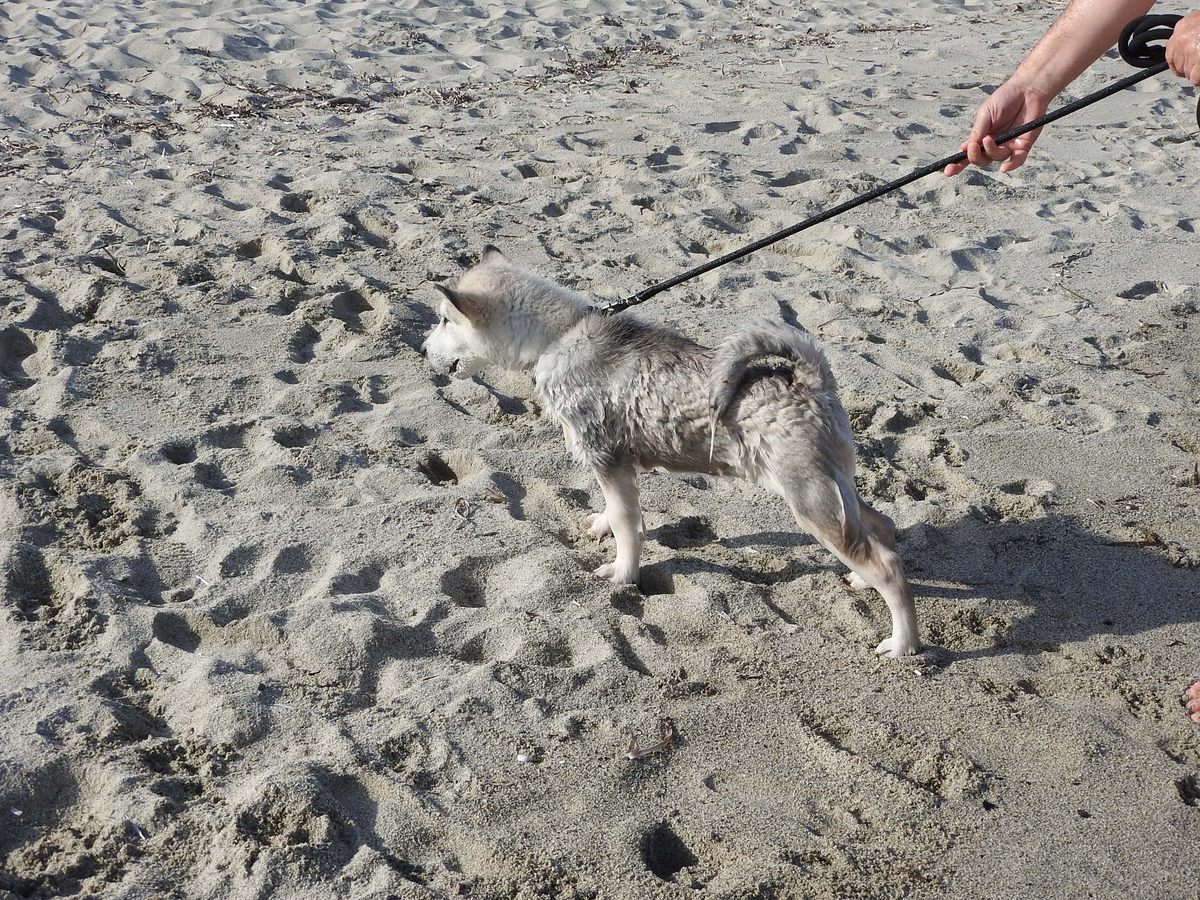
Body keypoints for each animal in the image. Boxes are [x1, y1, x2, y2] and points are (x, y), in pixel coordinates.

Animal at [422, 247, 919, 657]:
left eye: (446, 320)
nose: (424, 348)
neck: (560, 336)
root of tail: (812, 381)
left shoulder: (609, 460)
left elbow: (629, 527)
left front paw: (623, 575)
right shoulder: (615, 467)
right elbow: (614, 512)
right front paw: (601, 527)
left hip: (811, 500)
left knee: (888, 565)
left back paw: (903, 643)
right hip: (834, 489)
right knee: (881, 526)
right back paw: (862, 580)